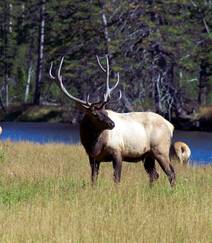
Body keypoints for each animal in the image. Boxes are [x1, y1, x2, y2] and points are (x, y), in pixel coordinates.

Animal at [49, 56, 176, 187]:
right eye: (95, 114)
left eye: (105, 112)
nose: (112, 124)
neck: (93, 145)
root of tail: (170, 126)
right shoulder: (93, 157)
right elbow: (93, 178)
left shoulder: (117, 151)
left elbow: (117, 178)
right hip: (147, 155)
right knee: (154, 175)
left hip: (161, 150)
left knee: (171, 173)